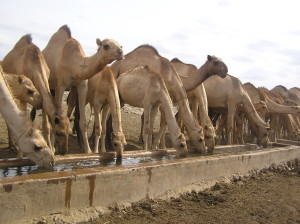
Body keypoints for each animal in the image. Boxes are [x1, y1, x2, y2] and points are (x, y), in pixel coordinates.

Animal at [42, 24, 123, 154]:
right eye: (106, 45)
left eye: (120, 45)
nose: (121, 52)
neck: (74, 65)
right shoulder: (61, 85)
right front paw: (53, 148)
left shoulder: (82, 86)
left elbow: (83, 122)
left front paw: (88, 150)